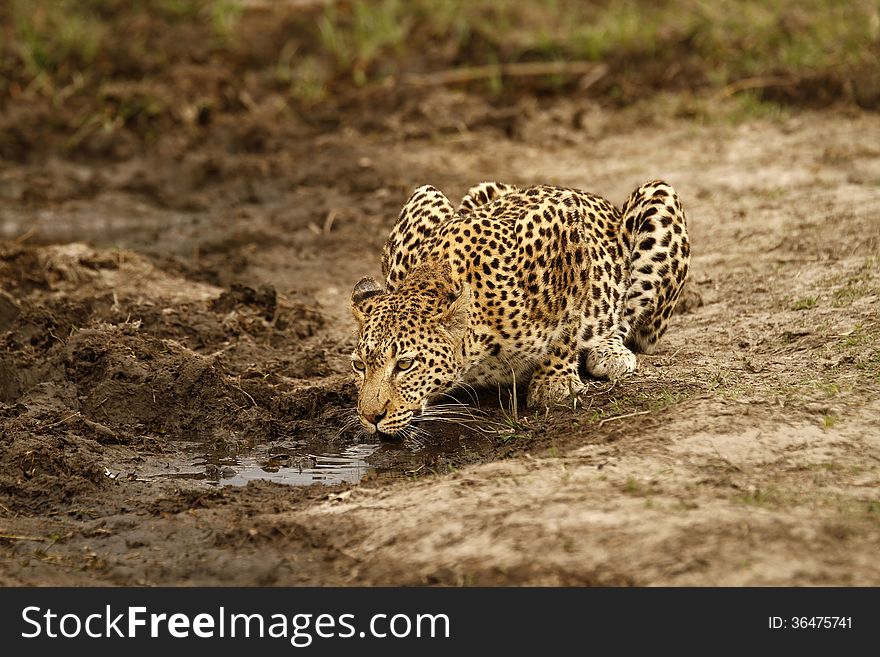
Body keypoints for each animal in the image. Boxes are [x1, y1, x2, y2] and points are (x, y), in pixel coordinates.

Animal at [348, 178, 688, 436]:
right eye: (359, 365)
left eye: (405, 364)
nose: (371, 417)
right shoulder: (418, 209)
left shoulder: (563, 227)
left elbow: (567, 323)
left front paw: (554, 383)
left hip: (659, 197)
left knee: (629, 323)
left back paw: (609, 350)